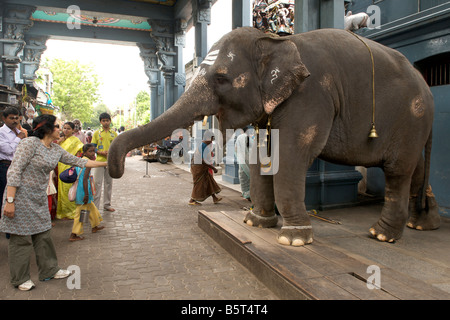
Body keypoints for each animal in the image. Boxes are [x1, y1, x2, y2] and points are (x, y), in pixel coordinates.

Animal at [109, 26, 440, 248]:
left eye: (222, 78)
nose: (118, 170)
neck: (276, 40)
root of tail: (426, 88)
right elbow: (260, 154)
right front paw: (255, 223)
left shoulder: (311, 95)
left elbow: (290, 155)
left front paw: (293, 240)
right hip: (415, 126)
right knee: (416, 169)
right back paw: (422, 225)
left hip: (411, 118)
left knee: (398, 172)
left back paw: (381, 235)